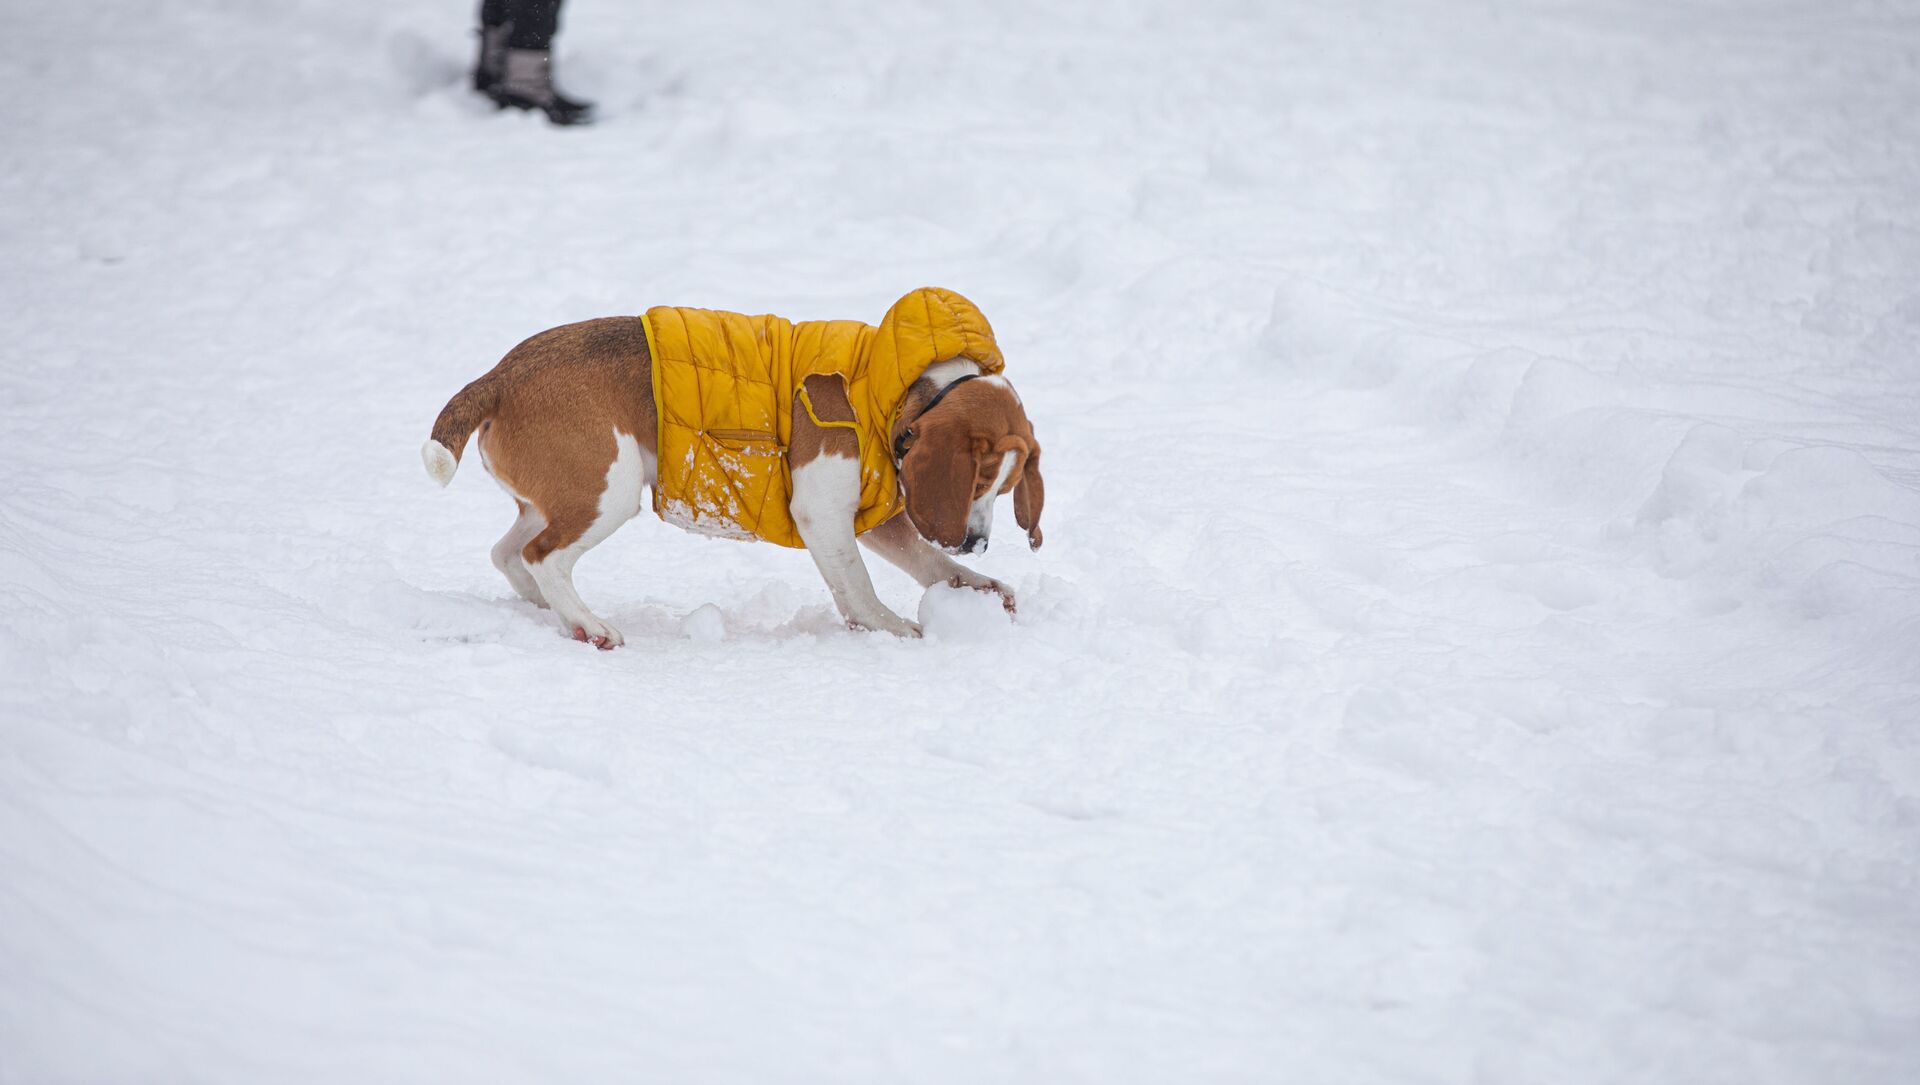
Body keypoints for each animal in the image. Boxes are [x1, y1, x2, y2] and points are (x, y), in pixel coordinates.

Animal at [421, 287, 1044, 646]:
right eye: (980, 479)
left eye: (1004, 488)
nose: (977, 543)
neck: (903, 392)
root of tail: (499, 377)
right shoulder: (823, 515)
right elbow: (859, 588)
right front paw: (889, 630)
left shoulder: (875, 517)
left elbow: (929, 563)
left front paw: (981, 587)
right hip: (607, 491)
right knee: (541, 555)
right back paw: (586, 624)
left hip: (560, 496)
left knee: (508, 552)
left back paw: (546, 611)